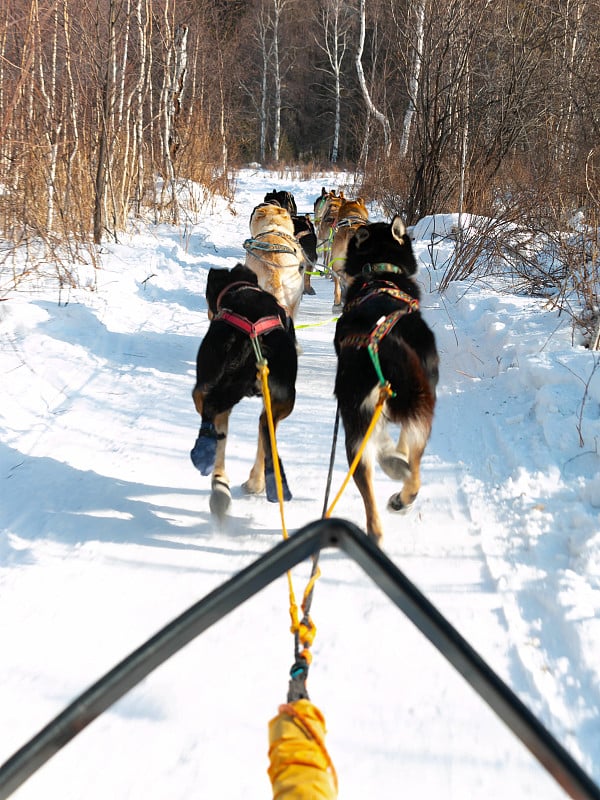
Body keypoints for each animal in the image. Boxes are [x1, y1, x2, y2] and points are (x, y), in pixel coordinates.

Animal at [332, 216, 436, 548]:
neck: (381, 274)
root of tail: (384, 344)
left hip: (356, 426)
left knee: (373, 481)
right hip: (419, 404)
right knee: (412, 470)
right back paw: (400, 496)